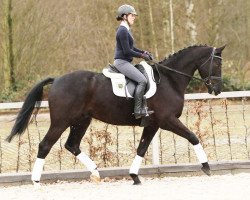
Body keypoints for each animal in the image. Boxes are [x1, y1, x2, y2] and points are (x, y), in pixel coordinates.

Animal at [5, 44, 226, 185]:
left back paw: (95, 173)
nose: (217, 89)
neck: (169, 79)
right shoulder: (167, 120)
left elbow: (142, 148)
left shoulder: (152, 124)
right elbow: (193, 137)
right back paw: (36, 181)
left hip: (81, 121)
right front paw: (206, 166)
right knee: (45, 145)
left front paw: (134, 176)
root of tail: (57, 79)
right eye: (217, 64)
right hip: (61, 121)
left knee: (72, 145)